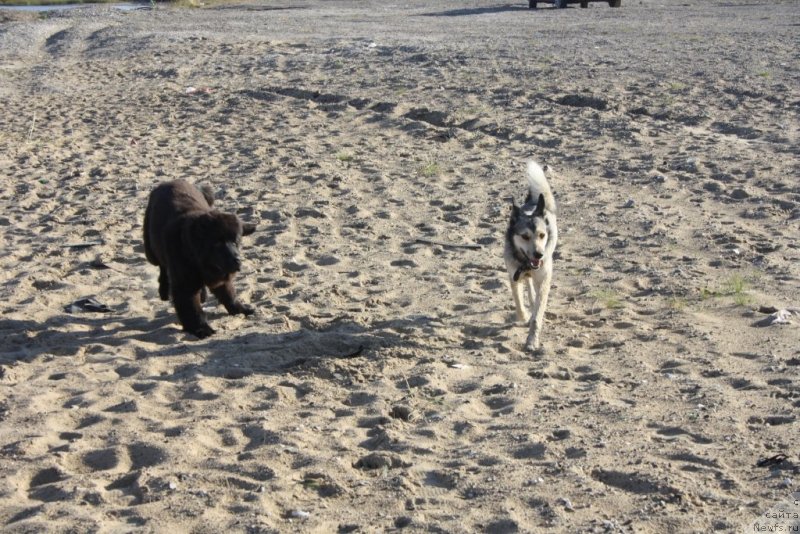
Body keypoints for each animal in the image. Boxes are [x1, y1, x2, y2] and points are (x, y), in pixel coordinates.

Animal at [142, 180, 256, 340]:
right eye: (217, 243)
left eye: (235, 242)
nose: (237, 260)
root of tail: (169, 182)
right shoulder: (185, 284)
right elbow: (192, 309)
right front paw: (201, 329)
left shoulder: (221, 276)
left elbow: (229, 294)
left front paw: (240, 309)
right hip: (151, 252)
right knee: (162, 266)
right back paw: (164, 290)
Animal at [504, 162, 560, 356]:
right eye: (525, 236)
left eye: (542, 235)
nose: (539, 255)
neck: (526, 263)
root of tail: (535, 203)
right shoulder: (513, 275)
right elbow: (519, 304)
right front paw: (524, 316)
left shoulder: (543, 278)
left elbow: (538, 315)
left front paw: (531, 341)